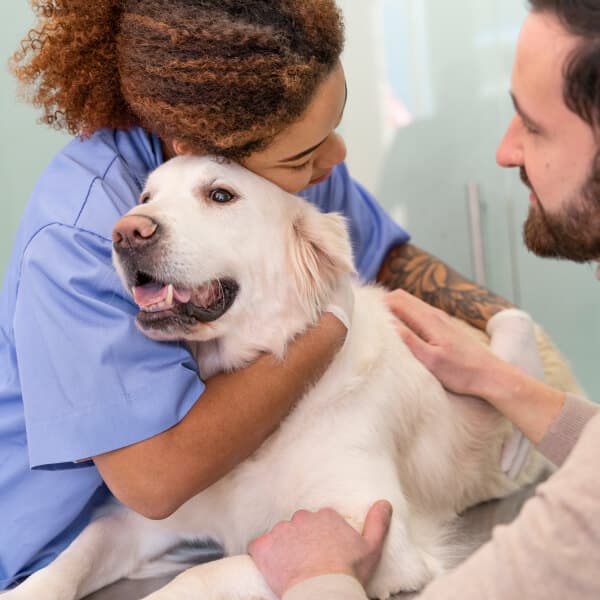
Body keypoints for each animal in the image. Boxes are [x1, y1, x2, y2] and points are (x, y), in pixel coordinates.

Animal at [5, 156, 548, 600]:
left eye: (220, 195)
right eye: (145, 198)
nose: (125, 232)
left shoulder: (380, 538)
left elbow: (199, 576)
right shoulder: (145, 516)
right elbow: (76, 553)